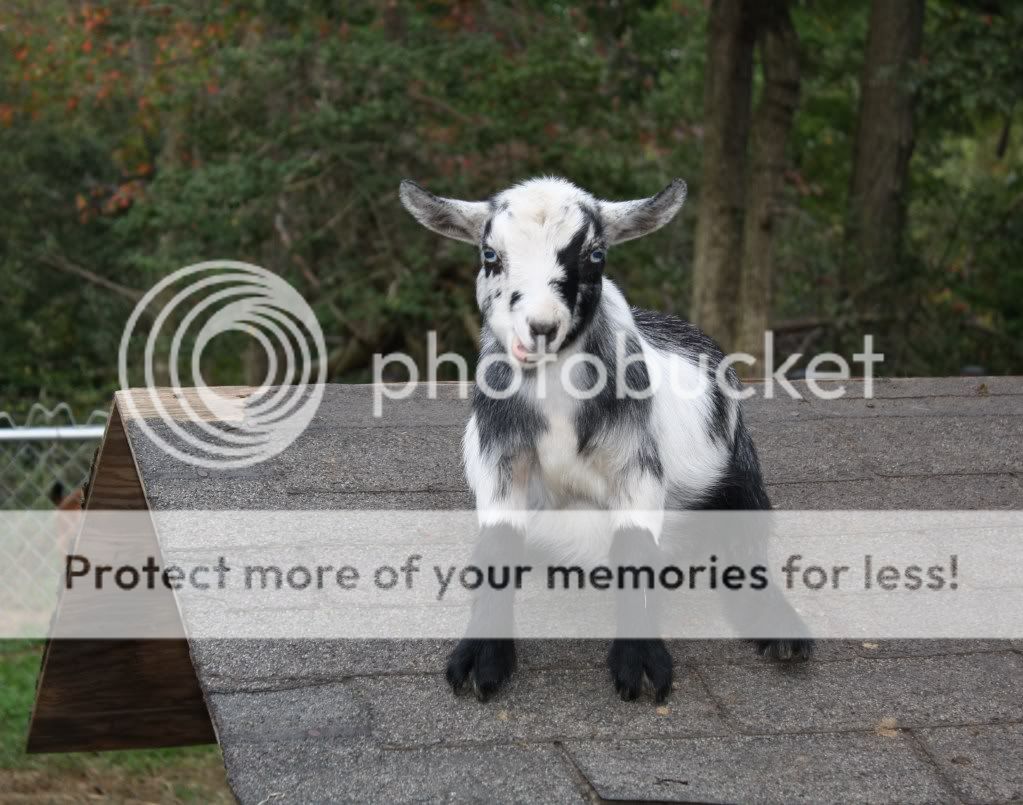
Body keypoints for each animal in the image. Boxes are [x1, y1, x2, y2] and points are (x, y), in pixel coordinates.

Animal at [399, 176, 811, 702]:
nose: (540, 328)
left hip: (741, 472)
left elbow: (635, 547)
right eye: (490, 254)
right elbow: (497, 545)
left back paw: (779, 630)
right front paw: (481, 657)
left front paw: (640, 662)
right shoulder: (500, 459)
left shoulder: (637, 464)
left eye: (595, 255)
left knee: (748, 541)